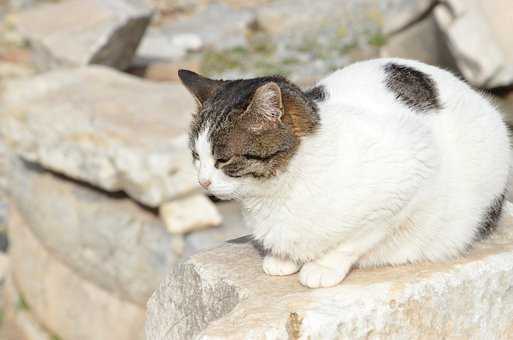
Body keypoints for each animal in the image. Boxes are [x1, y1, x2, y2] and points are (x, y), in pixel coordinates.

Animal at [178, 58, 510, 286]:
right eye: (195, 155)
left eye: (223, 160)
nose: (202, 181)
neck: (275, 194)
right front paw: (283, 259)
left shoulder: (413, 174)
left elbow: (356, 239)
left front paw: (323, 267)